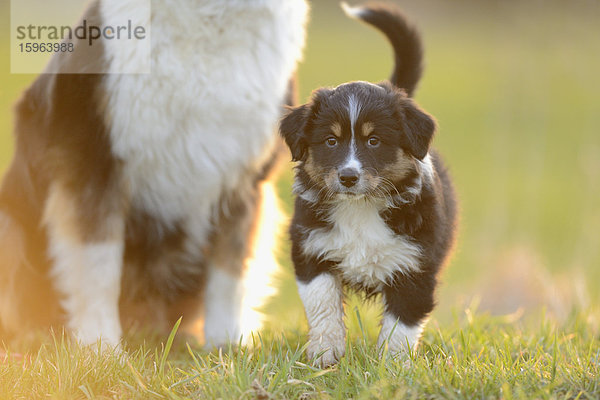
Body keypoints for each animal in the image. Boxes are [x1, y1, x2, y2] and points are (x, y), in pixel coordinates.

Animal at [0, 0, 308, 348]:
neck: (207, 19)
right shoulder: (93, 158)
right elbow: (99, 264)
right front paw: (101, 347)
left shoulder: (245, 175)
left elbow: (230, 270)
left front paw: (227, 345)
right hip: (7, 223)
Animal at [278, 3, 458, 368]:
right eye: (331, 141)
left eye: (374, 141)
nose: (348, 177)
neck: (360, 208)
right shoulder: (310, 247)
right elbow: (322, 303)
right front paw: (325, 354)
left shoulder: (416, 266)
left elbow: (402, 326)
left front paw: (394, 368)